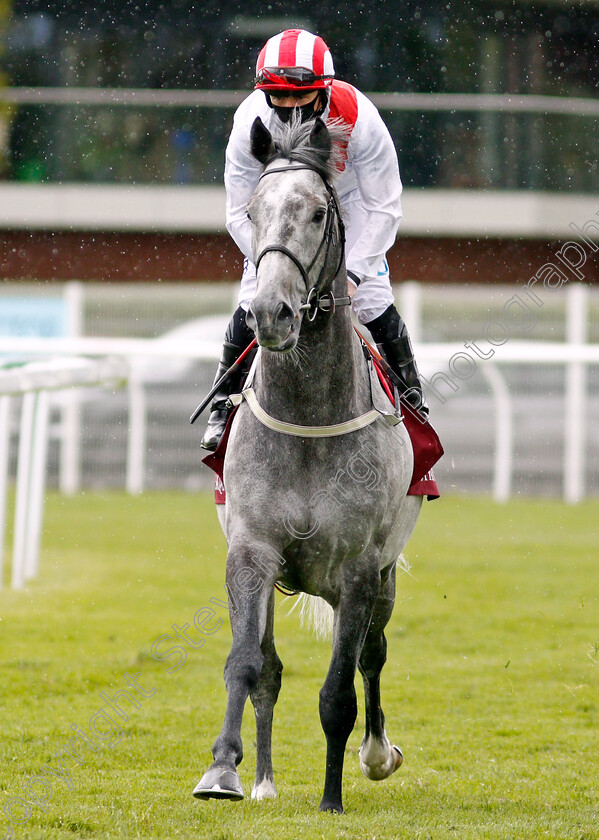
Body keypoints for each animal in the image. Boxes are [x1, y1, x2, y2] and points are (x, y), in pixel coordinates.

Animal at [195, 115, 424, 812]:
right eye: (252, 210)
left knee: (373, 654)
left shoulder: (358, 569)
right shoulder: (251, 551)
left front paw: (332, 798)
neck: (308, 421)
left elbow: (338, 692)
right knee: (270, 669)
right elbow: (248, 665)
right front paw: (224, 771)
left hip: (385, 576)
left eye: (319, 212)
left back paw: (375, 754)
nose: (271, 312)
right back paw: (265, 780)